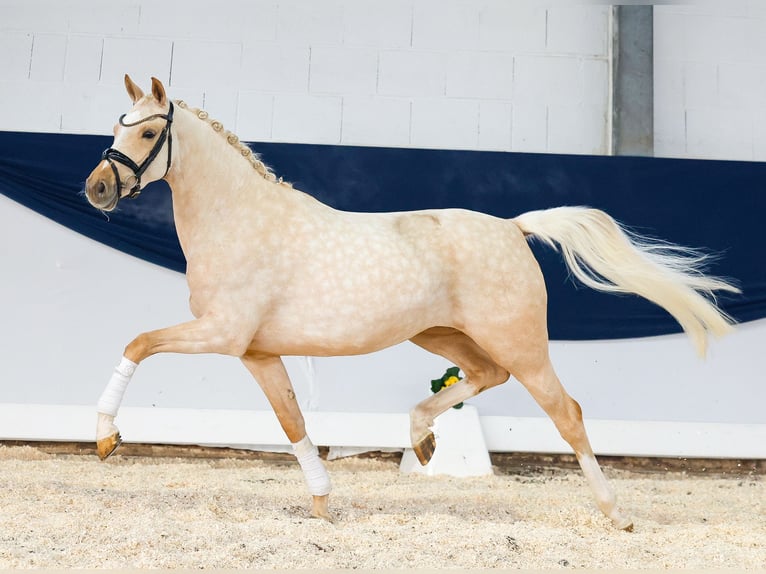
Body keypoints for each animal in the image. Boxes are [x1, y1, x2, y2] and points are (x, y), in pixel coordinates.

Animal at [84, 76, 736, 532]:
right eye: (116, 126)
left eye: (148, 133)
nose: (97, 188)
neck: (240, 220)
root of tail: (513, 228)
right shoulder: (256, 352)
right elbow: (292, 422)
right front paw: (322, 505)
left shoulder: (220, 332)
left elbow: (138, 342)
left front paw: (107, 438)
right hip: (442, 335)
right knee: (484, 376)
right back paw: (421, 437)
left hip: (520, 342)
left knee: (566, 412)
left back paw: (616, 514)